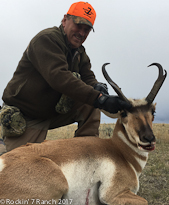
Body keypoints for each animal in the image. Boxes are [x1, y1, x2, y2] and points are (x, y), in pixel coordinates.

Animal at [0, 63, 166, 204]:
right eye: (124, 113)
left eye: (153, 112)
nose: (148, 139)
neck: (120, 152)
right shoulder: (113, 194)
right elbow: (145, 200)